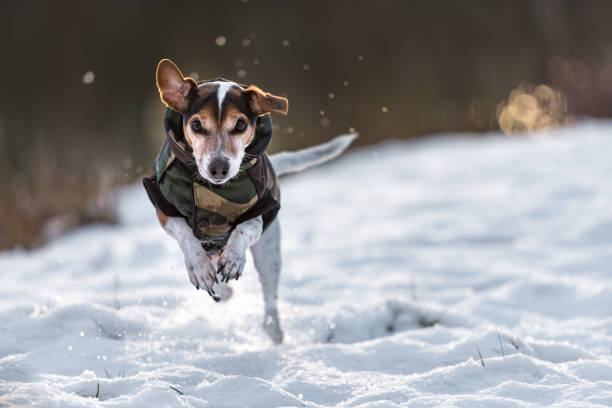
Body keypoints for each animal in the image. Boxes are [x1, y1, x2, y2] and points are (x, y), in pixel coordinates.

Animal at [145, 59, 354, 342]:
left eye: (241, 125)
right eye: (197, 126)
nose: (218, 168)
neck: (213, 190)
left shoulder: (262, 210)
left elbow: (244, 228)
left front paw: (234, 257)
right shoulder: (164, 210)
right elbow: (185, 234)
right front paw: (199, 266)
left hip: (269, 252)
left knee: (269, 297)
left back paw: (273, 329)